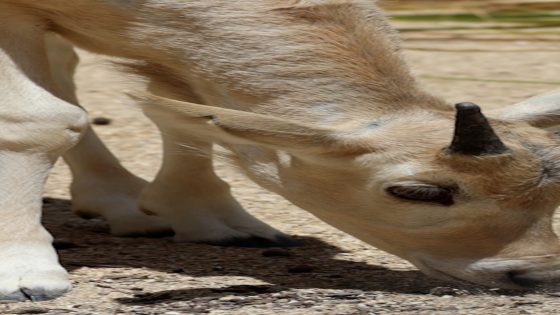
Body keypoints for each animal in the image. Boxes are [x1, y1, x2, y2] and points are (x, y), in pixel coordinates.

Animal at [1, 0, 560, 302]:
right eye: (415, 192)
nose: (538, 275)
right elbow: (41, 119)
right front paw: (27, 272)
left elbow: (180, 113)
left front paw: (215, 219)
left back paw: (121, 202)